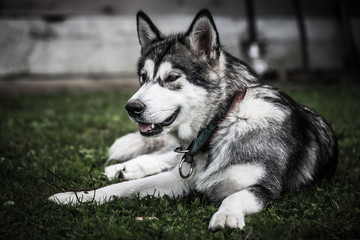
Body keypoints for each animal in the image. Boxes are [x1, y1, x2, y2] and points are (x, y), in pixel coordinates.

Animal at [50, 9, 338, 231]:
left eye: (171, 78)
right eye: (143, 77)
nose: (131, 107)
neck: (221, 124)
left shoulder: (264, 189)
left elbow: (232, 198)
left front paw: (226, 216)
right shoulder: (181, 180)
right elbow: (125, 188)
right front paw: (73, 196)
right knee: (161, 157)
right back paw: (121, 169)